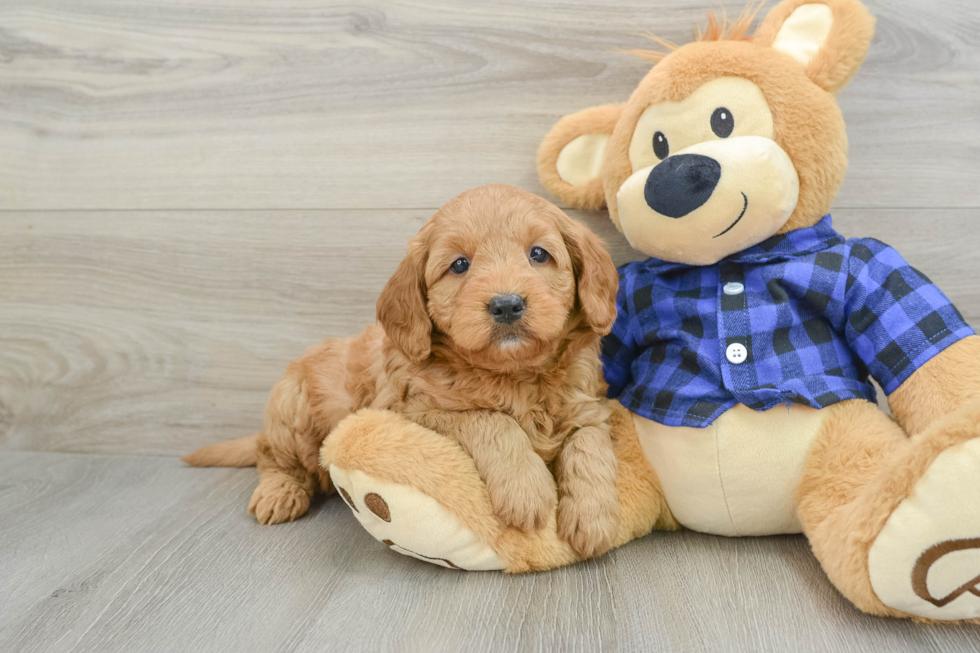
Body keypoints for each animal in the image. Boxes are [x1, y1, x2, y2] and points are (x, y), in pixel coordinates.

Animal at [186, 183, 620, 556]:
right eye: (459, 265)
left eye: (539, 254)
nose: (507, 304)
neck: (514, 375)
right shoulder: (413, 411)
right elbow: (490, 419)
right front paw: (527, 489)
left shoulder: (587, 404)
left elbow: (590, 443)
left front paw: (594, 516)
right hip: (294, 413)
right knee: (271, 455)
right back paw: (280, 493)